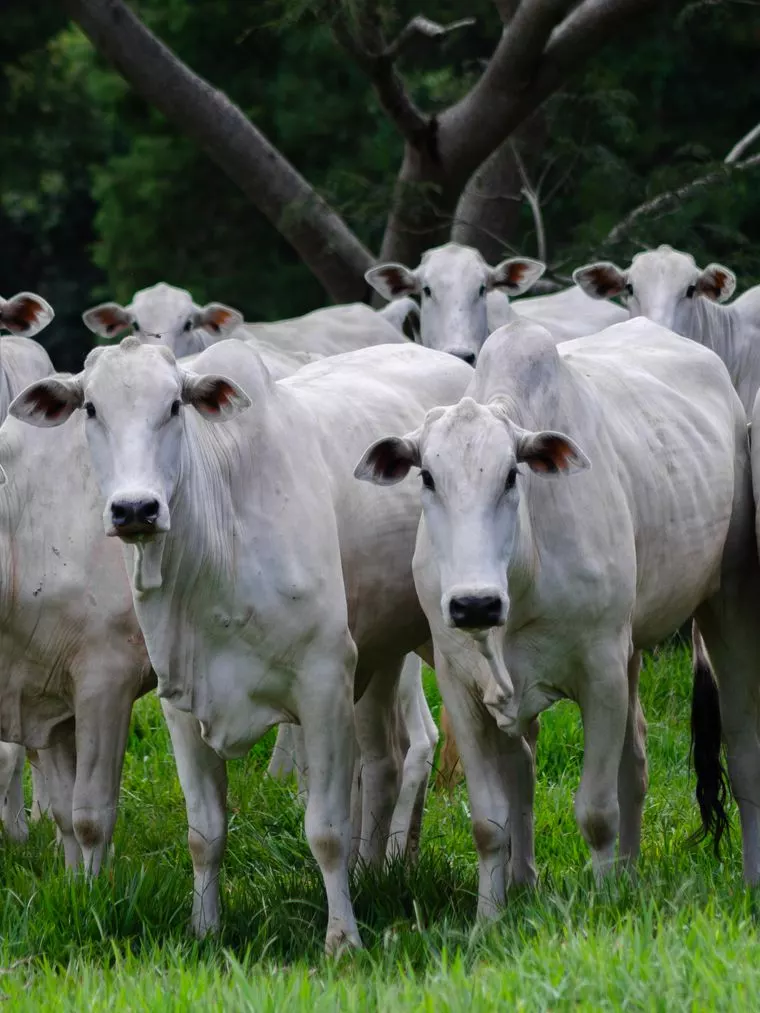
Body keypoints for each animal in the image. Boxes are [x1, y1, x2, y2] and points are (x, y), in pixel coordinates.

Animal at [9, 337, 471, 953]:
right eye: (91, 409)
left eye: (174, 407)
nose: (135, 509)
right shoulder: (178, 703)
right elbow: (203, 832)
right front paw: (204, 929)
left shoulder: (323, 682)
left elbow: (325, 830)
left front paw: (342, 939)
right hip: (381, 655)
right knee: (386, 761)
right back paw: (384, 871)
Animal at [355, 318, 760, 918]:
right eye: (426, 476)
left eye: (510, 476)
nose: (474, 604)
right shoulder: (461, 685)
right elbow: (489, 823)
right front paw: (489, 920)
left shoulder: (600, 672)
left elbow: (595, 812)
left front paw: (603, 904)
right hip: (631, 651)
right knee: (634, 764)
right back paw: (628, 873)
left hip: (726, 605)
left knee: (742, 750)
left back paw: (746, 879)